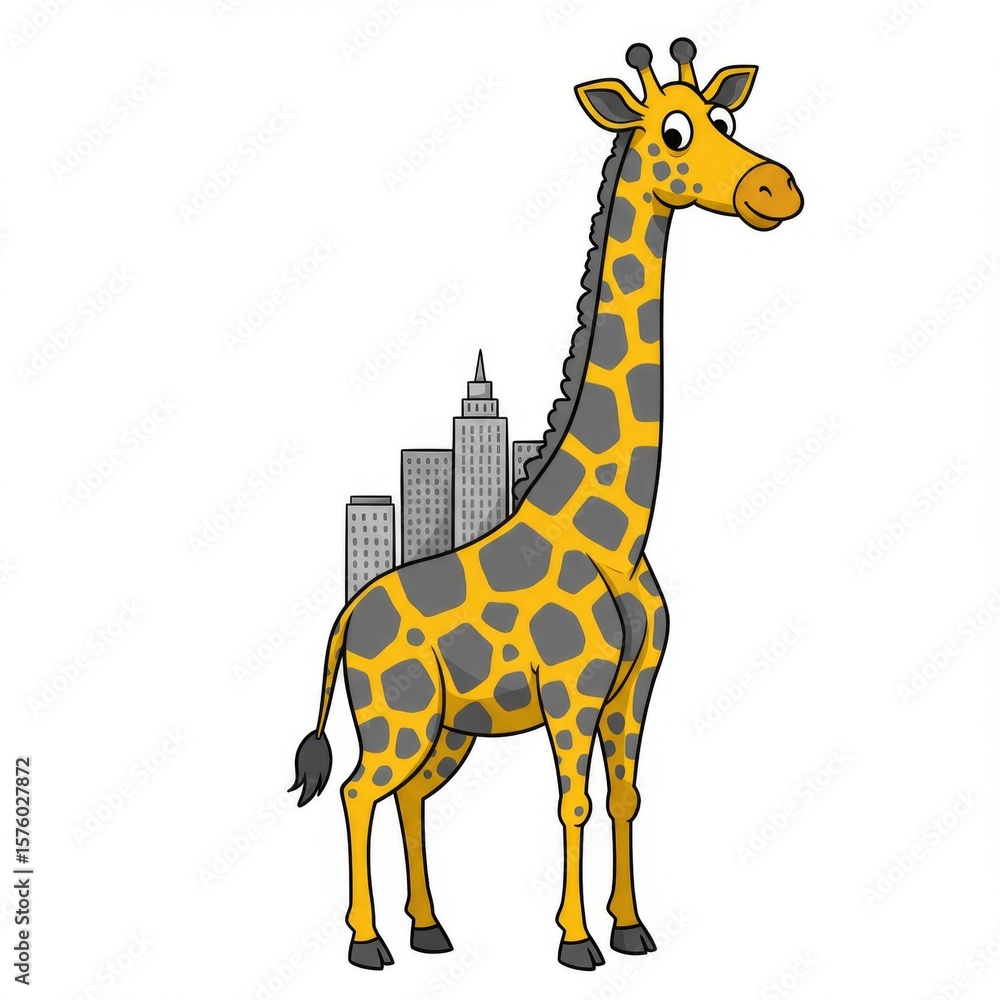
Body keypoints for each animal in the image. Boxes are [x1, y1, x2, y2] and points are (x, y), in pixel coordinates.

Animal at [290, 38, 803, 971]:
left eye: (726, 116)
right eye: (675, 133)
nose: (775, 189)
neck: (614, 532)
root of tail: (347, 616)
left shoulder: (635, 688)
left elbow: (627, 798)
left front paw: (632, 929)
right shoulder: (571, 689)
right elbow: (573, 803)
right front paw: (576, 941)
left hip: (448, 728)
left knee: (410, 797)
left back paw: (431, 931)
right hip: (396, 716)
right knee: (356, 792)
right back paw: (368, 943)